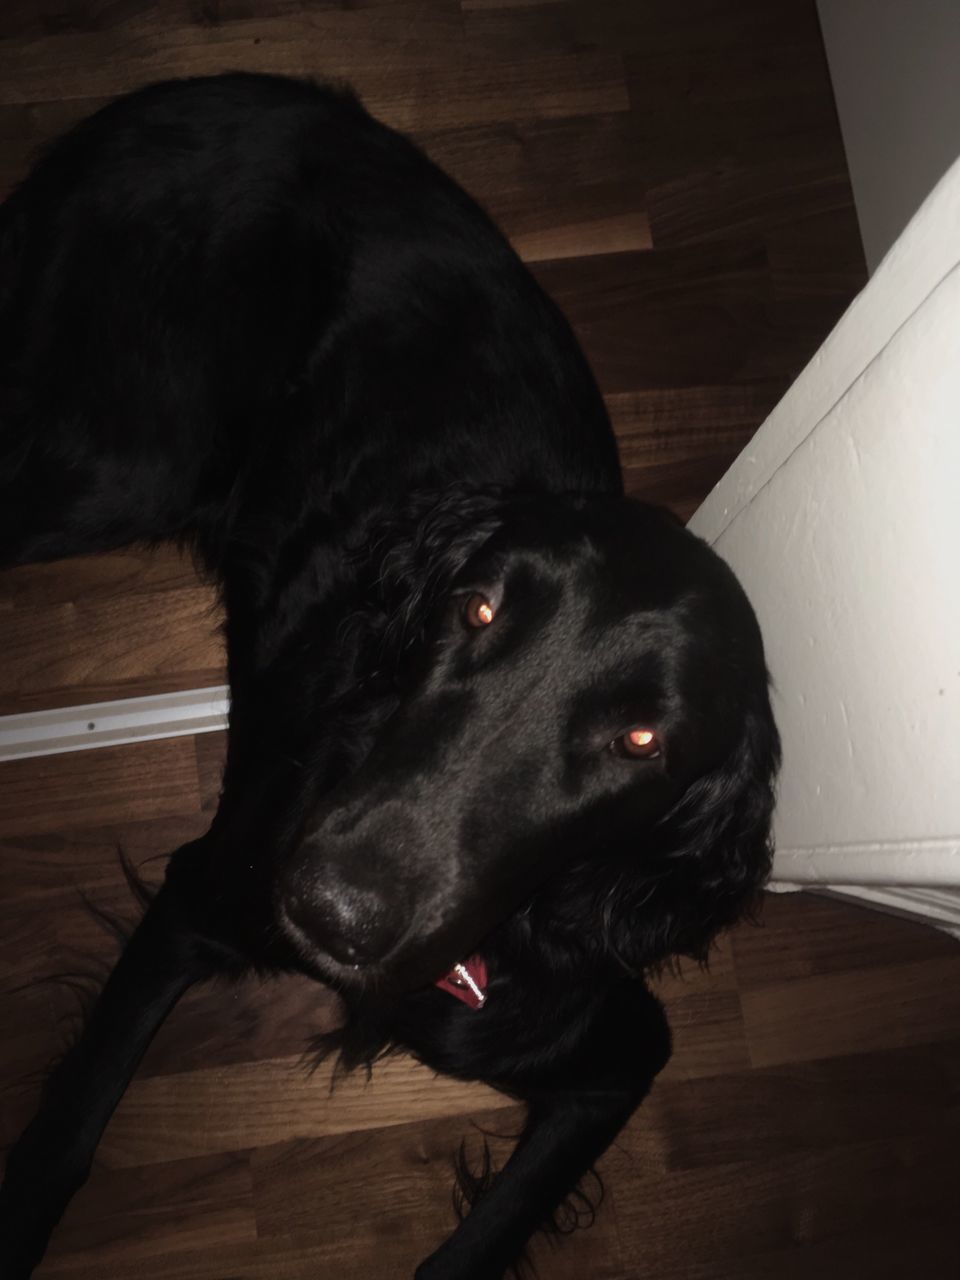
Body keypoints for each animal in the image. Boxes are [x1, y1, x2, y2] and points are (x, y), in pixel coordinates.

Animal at [0, 74, 783, 1274]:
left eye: (642, 740)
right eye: (478, 607)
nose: (331, 907)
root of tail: (174, 93)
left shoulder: (609, 1044)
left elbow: (476, 1240)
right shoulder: (201, 892)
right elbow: (61, 1140)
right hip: (110, 462)